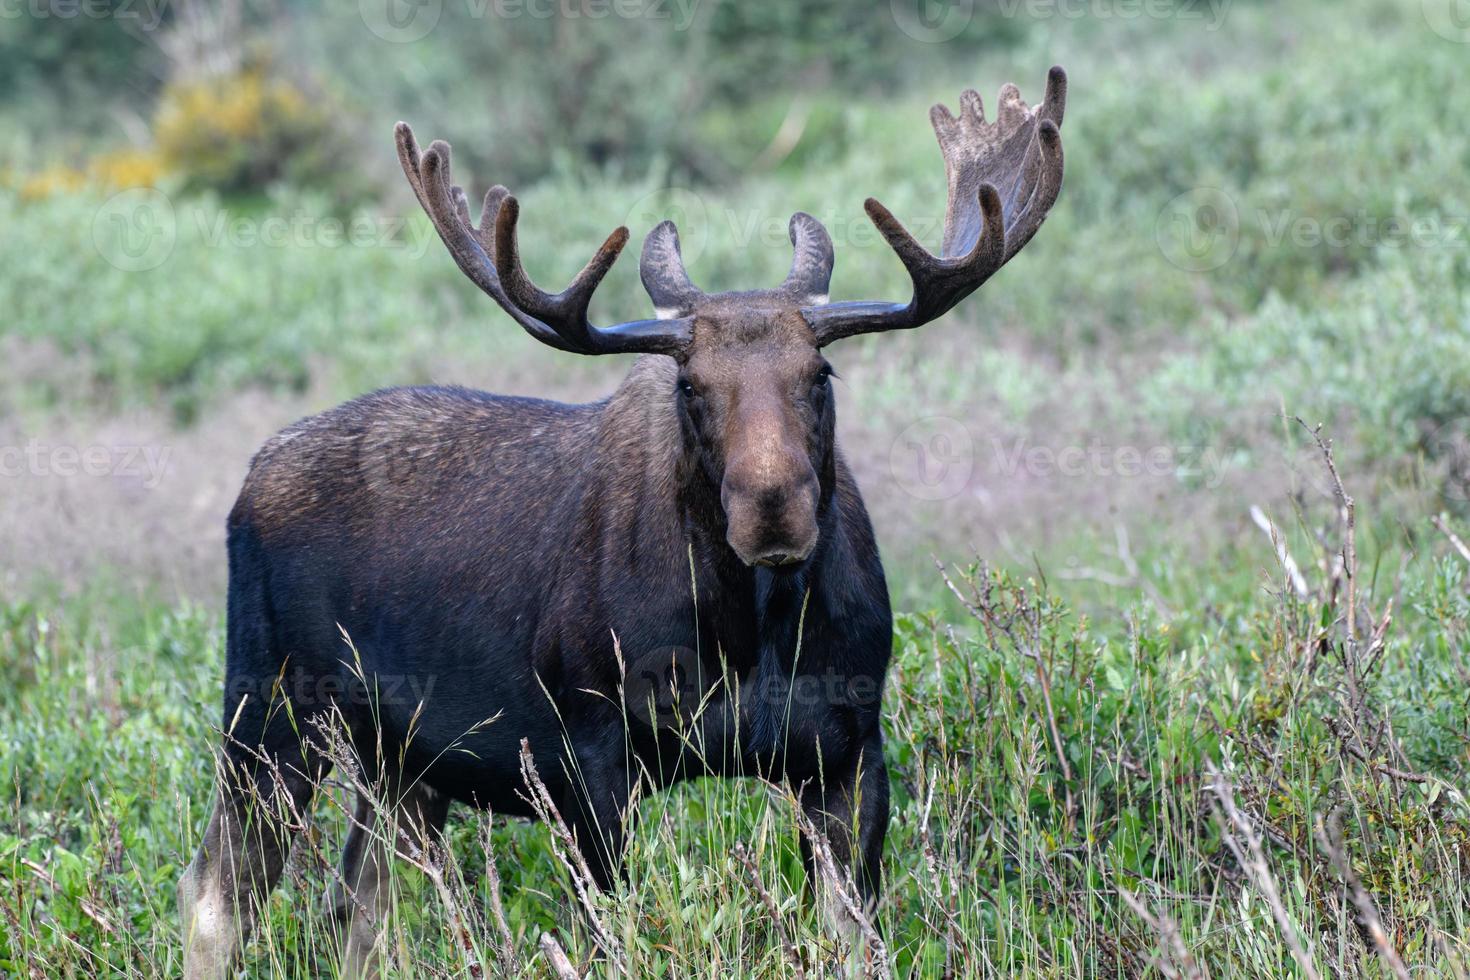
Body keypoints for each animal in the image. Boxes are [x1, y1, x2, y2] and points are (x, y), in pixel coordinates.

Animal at [177, 65, 1070, 975]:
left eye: (819, 373)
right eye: (691, 385)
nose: (774, 509)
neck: (747, 631)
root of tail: (252, 477)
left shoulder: (850, 753)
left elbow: (854, 941)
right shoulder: (591, 757)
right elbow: (614, 934)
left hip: (402, 761)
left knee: (355, 911)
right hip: (270, 710)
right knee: (217, 896)